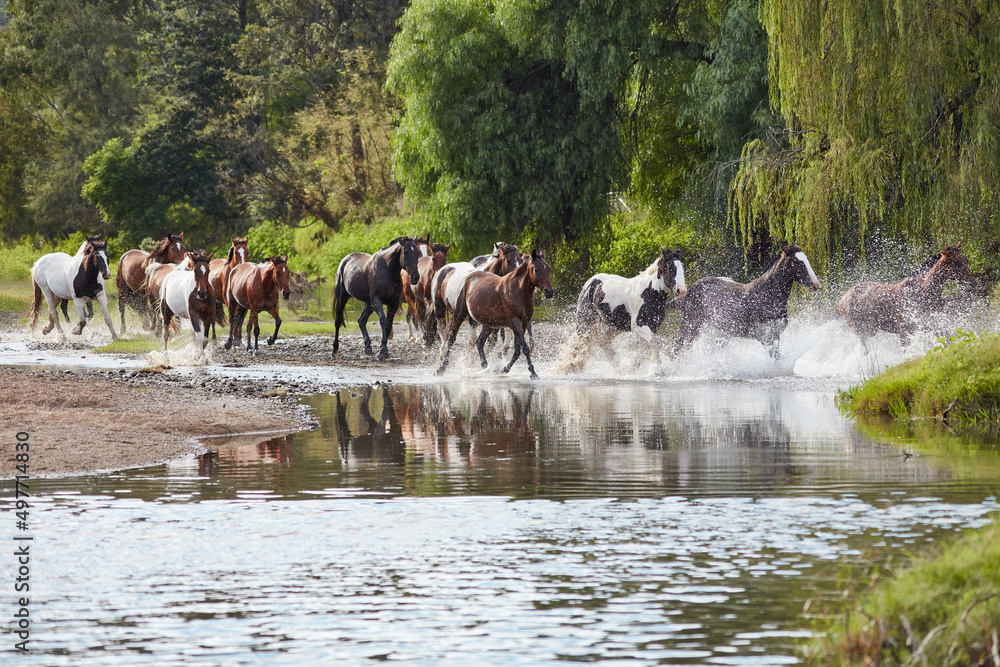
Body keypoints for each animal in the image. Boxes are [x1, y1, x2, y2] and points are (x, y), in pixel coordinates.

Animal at [436, 249, 555, 379]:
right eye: (536, 269)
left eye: (548, 269)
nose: (549, 291)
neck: (517, 291)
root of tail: (466, 278)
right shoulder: (515, 322)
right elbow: (525, 348)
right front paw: (533, 372)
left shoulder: (523, 324)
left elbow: (517, 350)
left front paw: (503, 369)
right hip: (459, 315)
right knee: (452, 339)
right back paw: (441, 368)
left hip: (489, 324)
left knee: (479, 342)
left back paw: (485, 366)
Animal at [670, 243, 820, 359]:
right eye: (797, 262)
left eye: (807, 259)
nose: (815, 284)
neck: (768, 295)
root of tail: (690, 291)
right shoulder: (765, 337)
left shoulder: (775, 335)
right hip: (691, 325)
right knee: (677, 348)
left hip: (722, 334)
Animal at [837, 244, 978, 351]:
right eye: (955, 263)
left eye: (966, 260)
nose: (973, 284)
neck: (923, 293)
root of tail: (842, 300)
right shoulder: (905, 332)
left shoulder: (932, 325)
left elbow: (948, 339)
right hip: (862, 332)